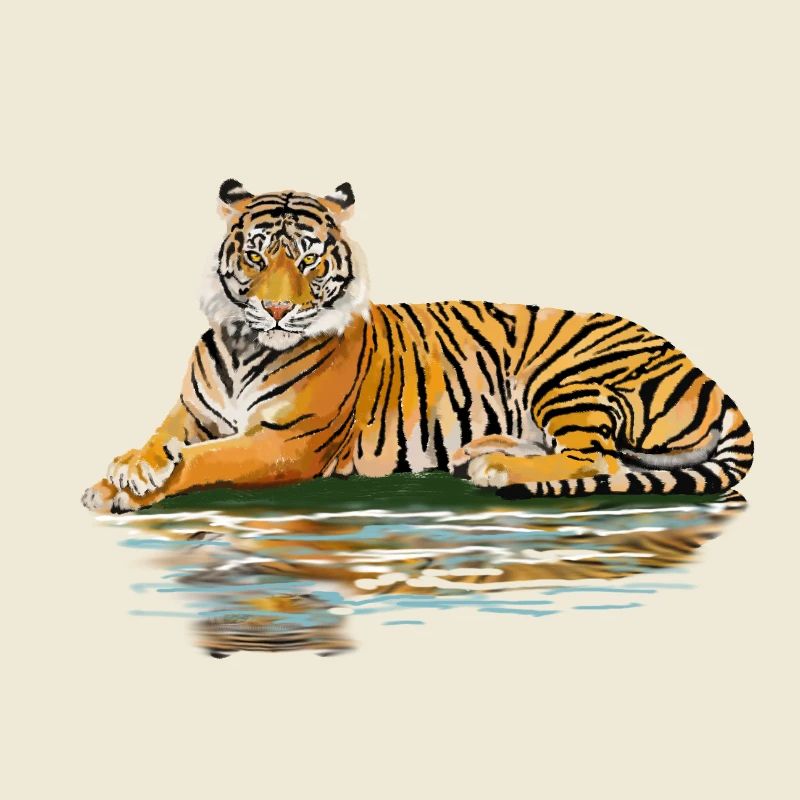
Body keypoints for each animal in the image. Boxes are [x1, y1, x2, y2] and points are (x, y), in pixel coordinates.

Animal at [81, 179, 754, 513]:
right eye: (255, 255)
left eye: (308, 258)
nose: (276, 309)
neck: (246, 343)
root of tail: (706, 374)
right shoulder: (191, 412)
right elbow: (162, 439)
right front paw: (124, 471)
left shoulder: (285, 444)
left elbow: (205, 459)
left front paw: (132, 489)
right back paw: (483, 451)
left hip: (567, 376)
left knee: (600, 462)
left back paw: (497, 468)